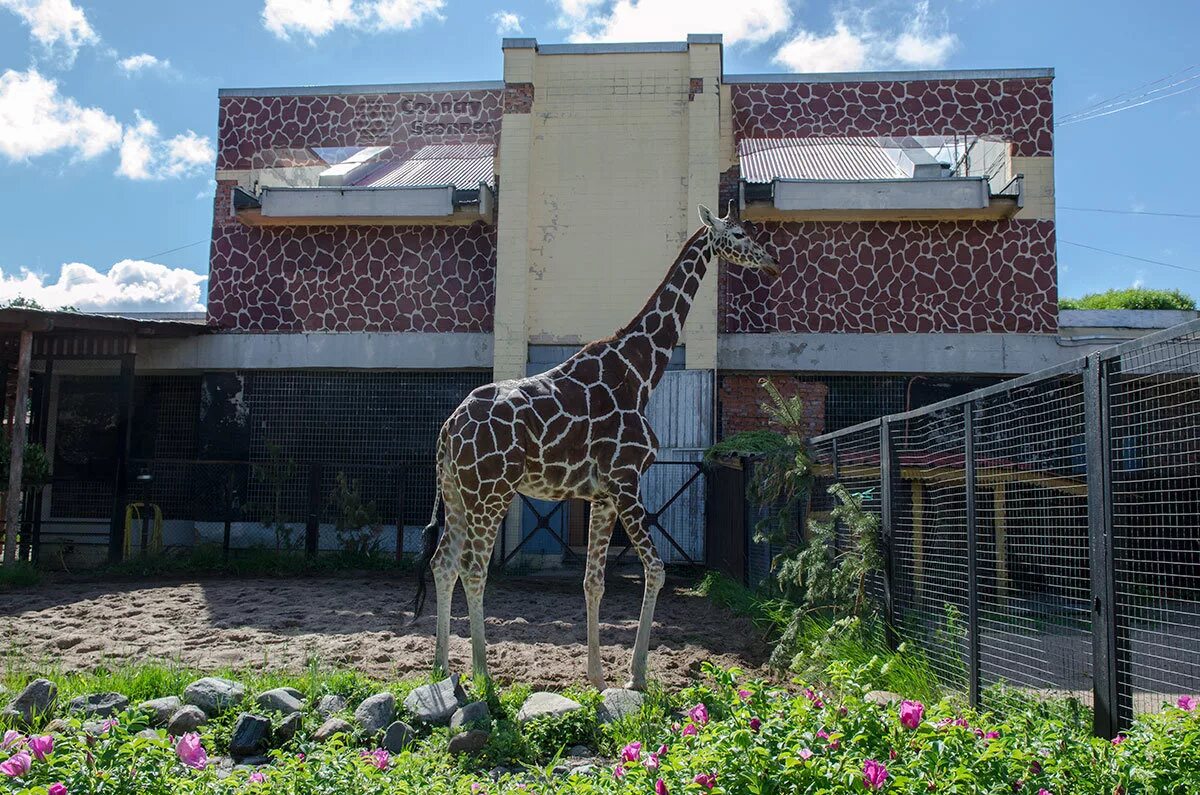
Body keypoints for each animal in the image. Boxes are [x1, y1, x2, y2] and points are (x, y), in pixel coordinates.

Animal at [412, 205, 777, 691]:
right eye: (737, 233)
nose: (772, 262)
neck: (641, 373)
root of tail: (448, 429)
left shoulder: (602, 494)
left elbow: (593, 582)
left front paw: (598, 678)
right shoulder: (626, 481)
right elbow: (656, 570)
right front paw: (637, 677)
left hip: (456, 491)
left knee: (443, 562)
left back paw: (440, 669)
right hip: (490, 493)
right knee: (473, 569)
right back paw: (483, 674)